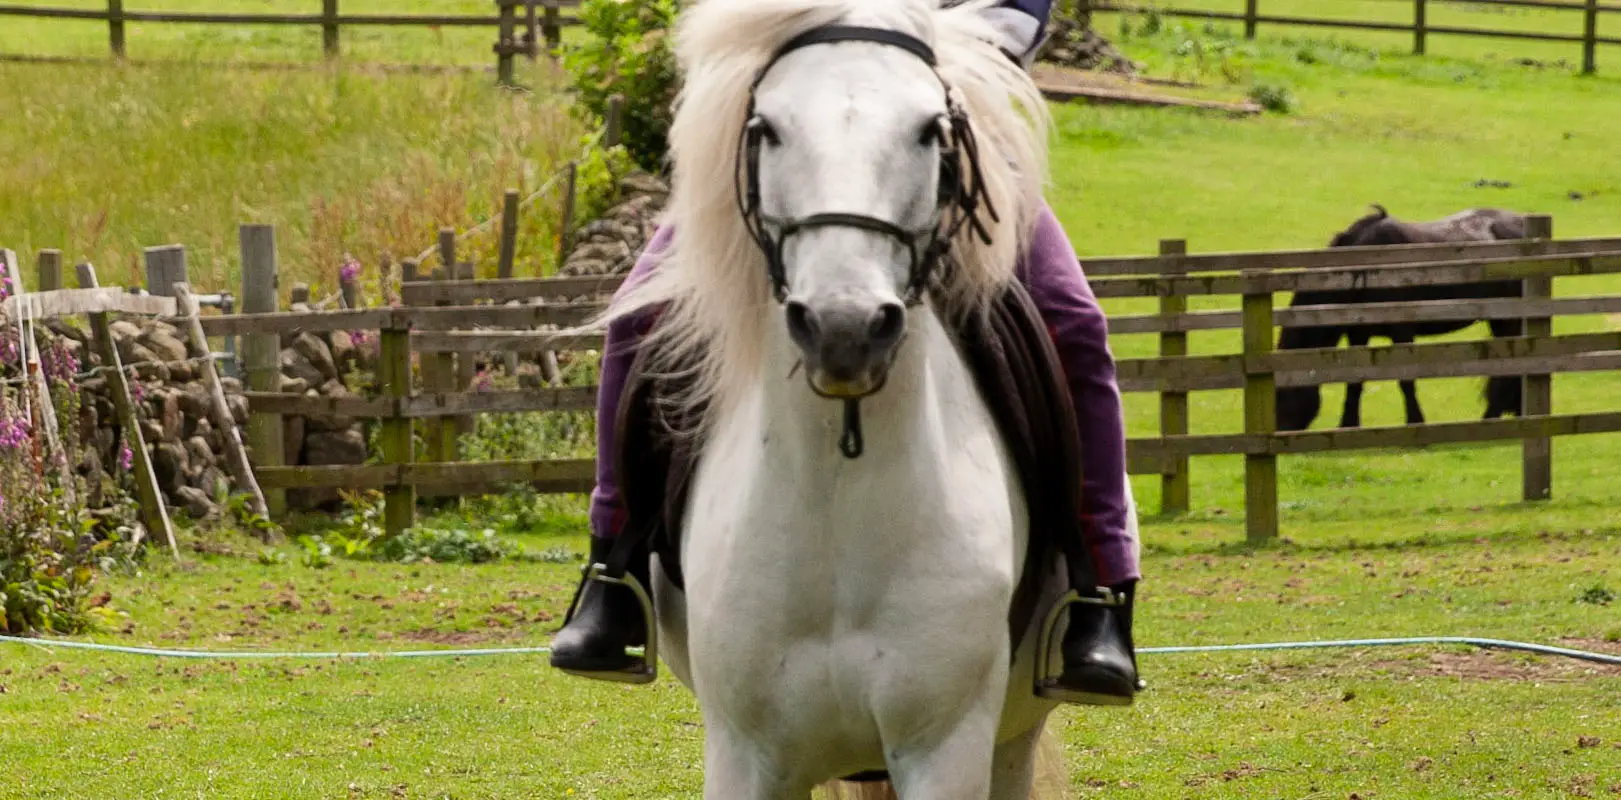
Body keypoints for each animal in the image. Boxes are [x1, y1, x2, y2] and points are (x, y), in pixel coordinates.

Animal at [1274, 205, 1528, 433]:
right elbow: (1355, 381)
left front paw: (1415, 422)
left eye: (1284, 391)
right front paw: (1348, 425)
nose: (1280, 432)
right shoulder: (1358, 334)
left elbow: (1406, 380)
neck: (1366, 269)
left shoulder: (1401, 331)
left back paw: (1490, 419)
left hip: (1510, 321)